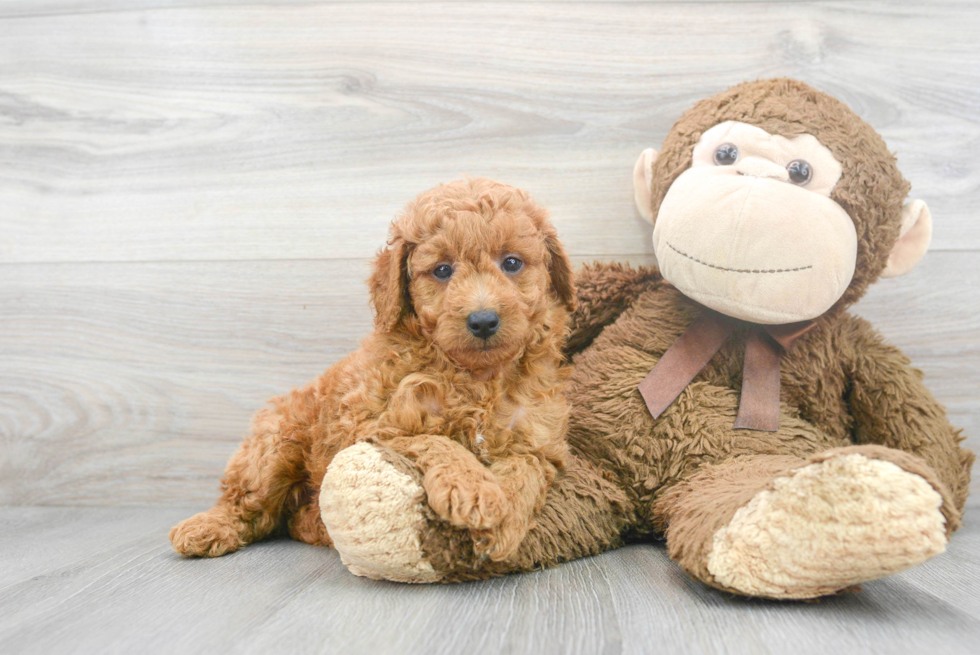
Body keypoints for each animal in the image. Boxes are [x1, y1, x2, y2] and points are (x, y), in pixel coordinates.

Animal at [170, 178, 576, 564]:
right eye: (442, 270)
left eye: (512, 263)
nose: (483, 320)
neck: (477, 377)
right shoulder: (370, 428)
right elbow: (434, 439)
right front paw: (474, 490)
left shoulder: (538, 438)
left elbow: (525, 468)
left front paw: (503, 520)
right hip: (275, 444)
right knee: (249, 504)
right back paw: (206, 528)